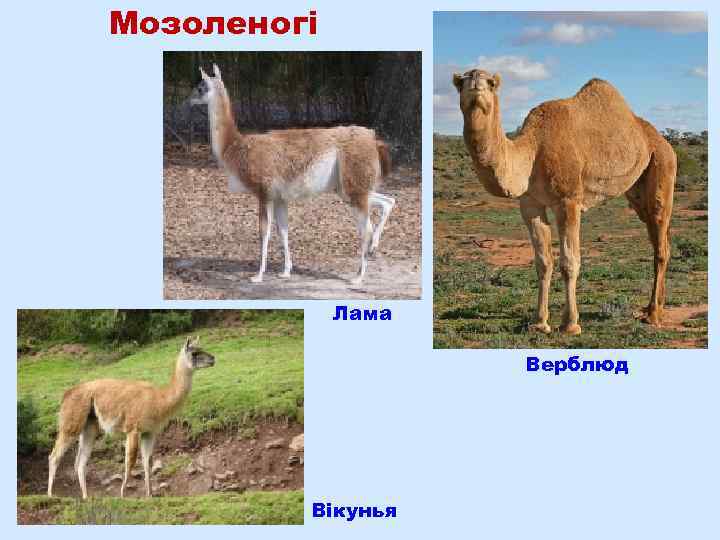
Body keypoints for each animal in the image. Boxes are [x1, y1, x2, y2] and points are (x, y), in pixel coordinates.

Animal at [47, 337, 215, 499]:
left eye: (202, 348)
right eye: (194, 353)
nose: (213, 359)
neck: (159, 400)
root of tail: (67, 394)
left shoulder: (149, 432)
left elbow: (148, 462)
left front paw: (149, 494)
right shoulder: (133, 429)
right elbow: (131, 461)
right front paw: (123, 494)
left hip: (89, 426)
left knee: (80, 463)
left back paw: (85, 497)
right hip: (71, 422)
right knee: (54, 456)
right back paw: (50, 494)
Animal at [189, 64, 395, 285]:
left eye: (201, 87)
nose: (189, 99)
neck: (235, 146)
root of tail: (373, 139)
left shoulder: (264, 192)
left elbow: (264, 232)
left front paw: (258, 275)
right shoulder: (280, 198)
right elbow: (283, 231)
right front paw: (286, 271)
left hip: (353, 185)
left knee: (366, 228)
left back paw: (358, 276)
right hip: (350, 187)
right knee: (388, 201)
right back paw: (374, 247)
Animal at [452, 69, 676, 335]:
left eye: (491, 83)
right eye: (461, 83)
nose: (476, 80)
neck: (533, 152)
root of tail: (663, 142)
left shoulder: (568, 201)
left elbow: (569, 262)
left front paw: (570, 324)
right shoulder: (530, 204)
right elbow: (543, 262)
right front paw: (539, 323)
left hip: (663, 166)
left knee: (660, 242)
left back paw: (653, 315)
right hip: (637, 190)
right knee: (658, 237)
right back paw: (654, 308)